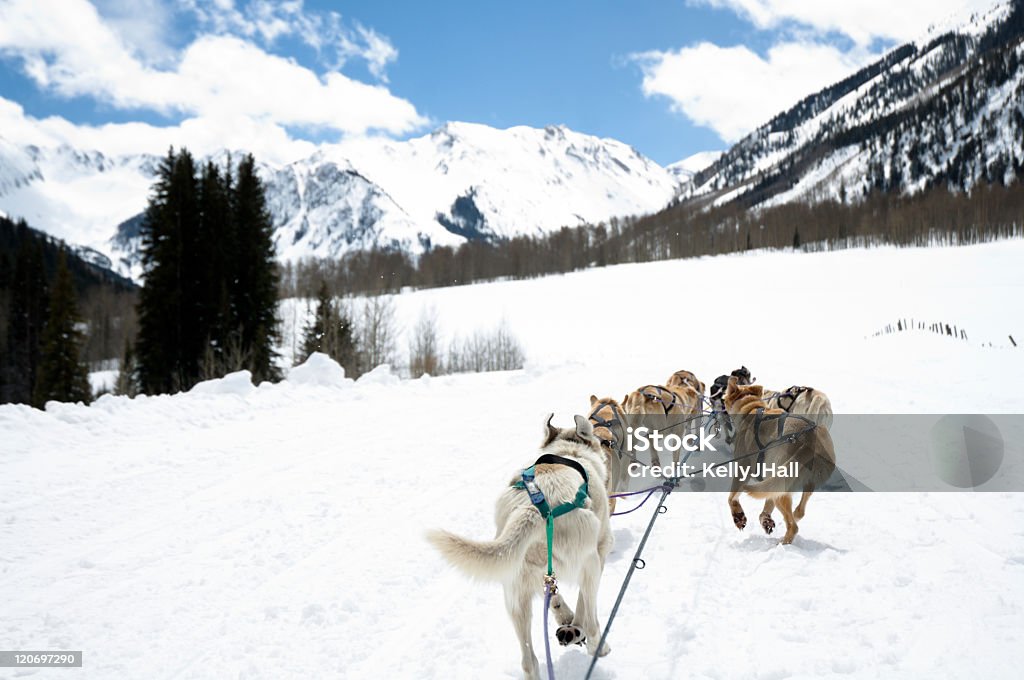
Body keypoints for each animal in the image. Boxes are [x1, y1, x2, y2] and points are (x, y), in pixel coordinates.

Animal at [423, 413, 606, 680]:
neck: (568, 452)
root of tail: (532, 509)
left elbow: (556, 599)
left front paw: (566, 617)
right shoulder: (599, 552)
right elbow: (583, 604)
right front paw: (576, 627)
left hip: (517, 594)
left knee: (528, 660)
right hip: (587, 563)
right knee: (591, 619)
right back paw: (597, 646)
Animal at [724, 376, 835, 548]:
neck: (752, 409)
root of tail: (809, 440)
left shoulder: (743, 466)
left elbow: (732, 497)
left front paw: (738, 516)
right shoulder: (768, 481)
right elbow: (766, 507)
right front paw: (766, 520)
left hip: (781, 486)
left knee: (793, 526)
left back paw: (782, 543)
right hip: (797, 482)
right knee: (799, 511)